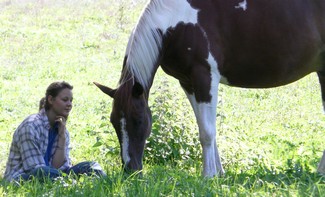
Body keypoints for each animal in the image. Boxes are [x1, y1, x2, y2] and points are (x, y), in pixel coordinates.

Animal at [93, 0, 324, 178]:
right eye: (114, 122)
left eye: (139, 121)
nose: (130, 170)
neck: (177, 24)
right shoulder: (188, 82)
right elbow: (205, 128)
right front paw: (219, 173)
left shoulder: (205, 78)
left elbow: (207, 131)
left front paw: (208, 175)